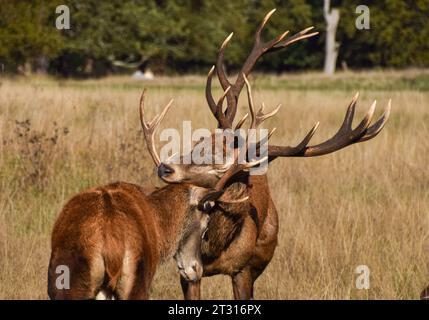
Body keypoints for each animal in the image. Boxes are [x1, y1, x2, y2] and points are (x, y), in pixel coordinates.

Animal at [46, 92, 260, 300]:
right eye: (206, 223)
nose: (196, 270)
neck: (160, 226)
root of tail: (110, 245)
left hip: (67, 280)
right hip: (136, 277)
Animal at [145, 10, 390, 300]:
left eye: (220, 165)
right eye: (198, 141)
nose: (165, 167)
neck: (214, 249)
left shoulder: (244, 269)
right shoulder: (187, 270)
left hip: (263, 254)